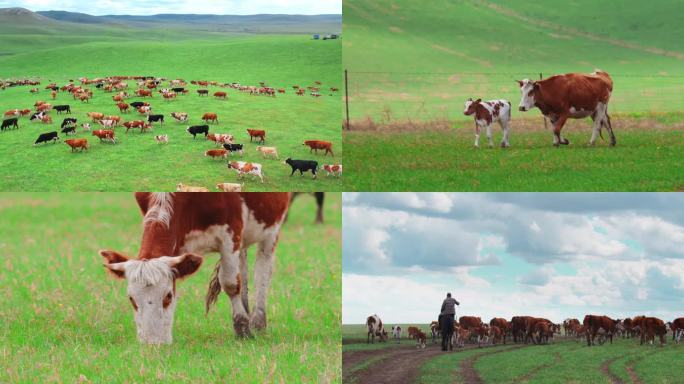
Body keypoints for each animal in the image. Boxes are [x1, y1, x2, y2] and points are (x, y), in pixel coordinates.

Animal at [99, 194, 288, 344]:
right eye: (131, 298)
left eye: (168, 295)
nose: (153, 343)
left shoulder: (231, 231)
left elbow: (230, 283)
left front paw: (243, 329)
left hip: (272, 229)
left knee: (263, 271)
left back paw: (258, 322)